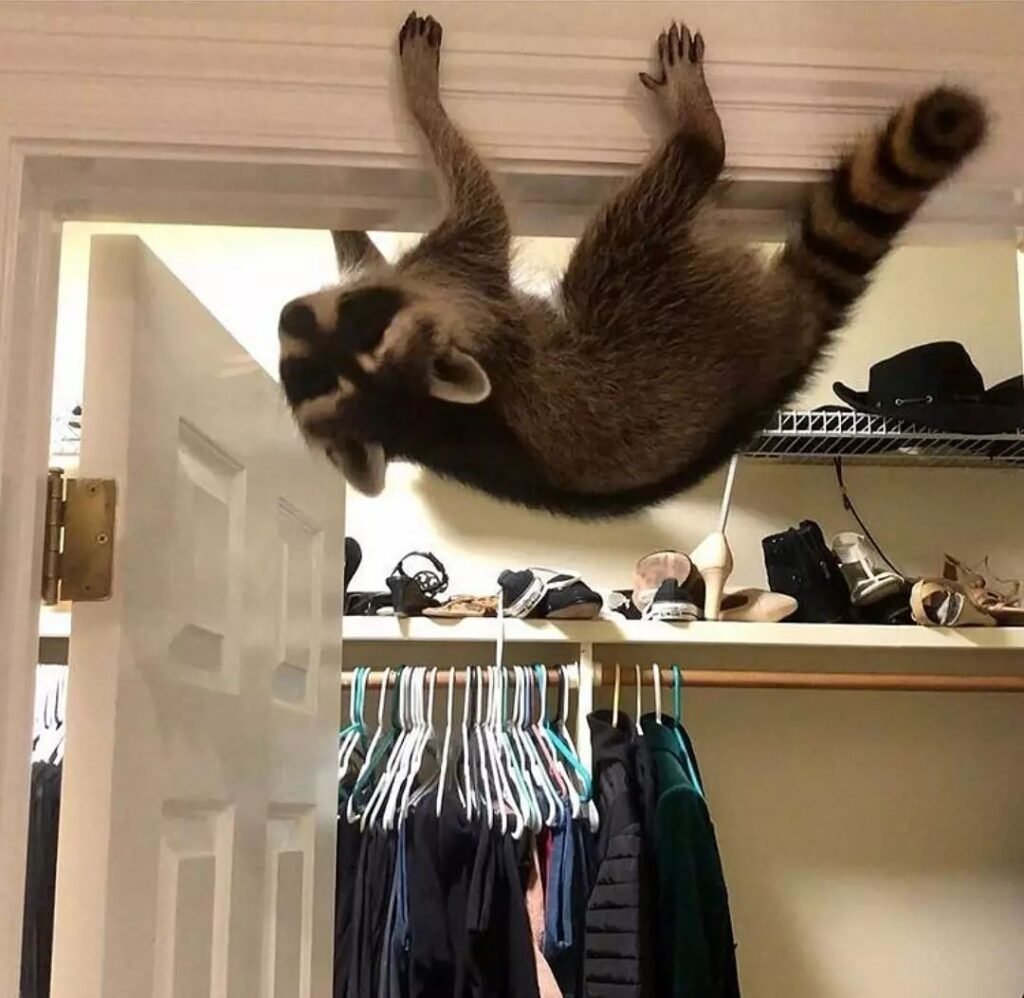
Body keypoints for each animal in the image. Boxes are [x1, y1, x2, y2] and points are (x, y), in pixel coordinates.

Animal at [279, 11, 987, 519]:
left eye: (362, 319)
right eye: (307, 373)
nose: (289, 314)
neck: (420, 421)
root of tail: (777, 358)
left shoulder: (461, 282)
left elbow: (472, 200)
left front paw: (417, 106)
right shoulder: (461, 287)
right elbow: (471, 202)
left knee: (623, 230)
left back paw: (700, 136)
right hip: (661, 301)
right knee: (633, 226)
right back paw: (701, 139)